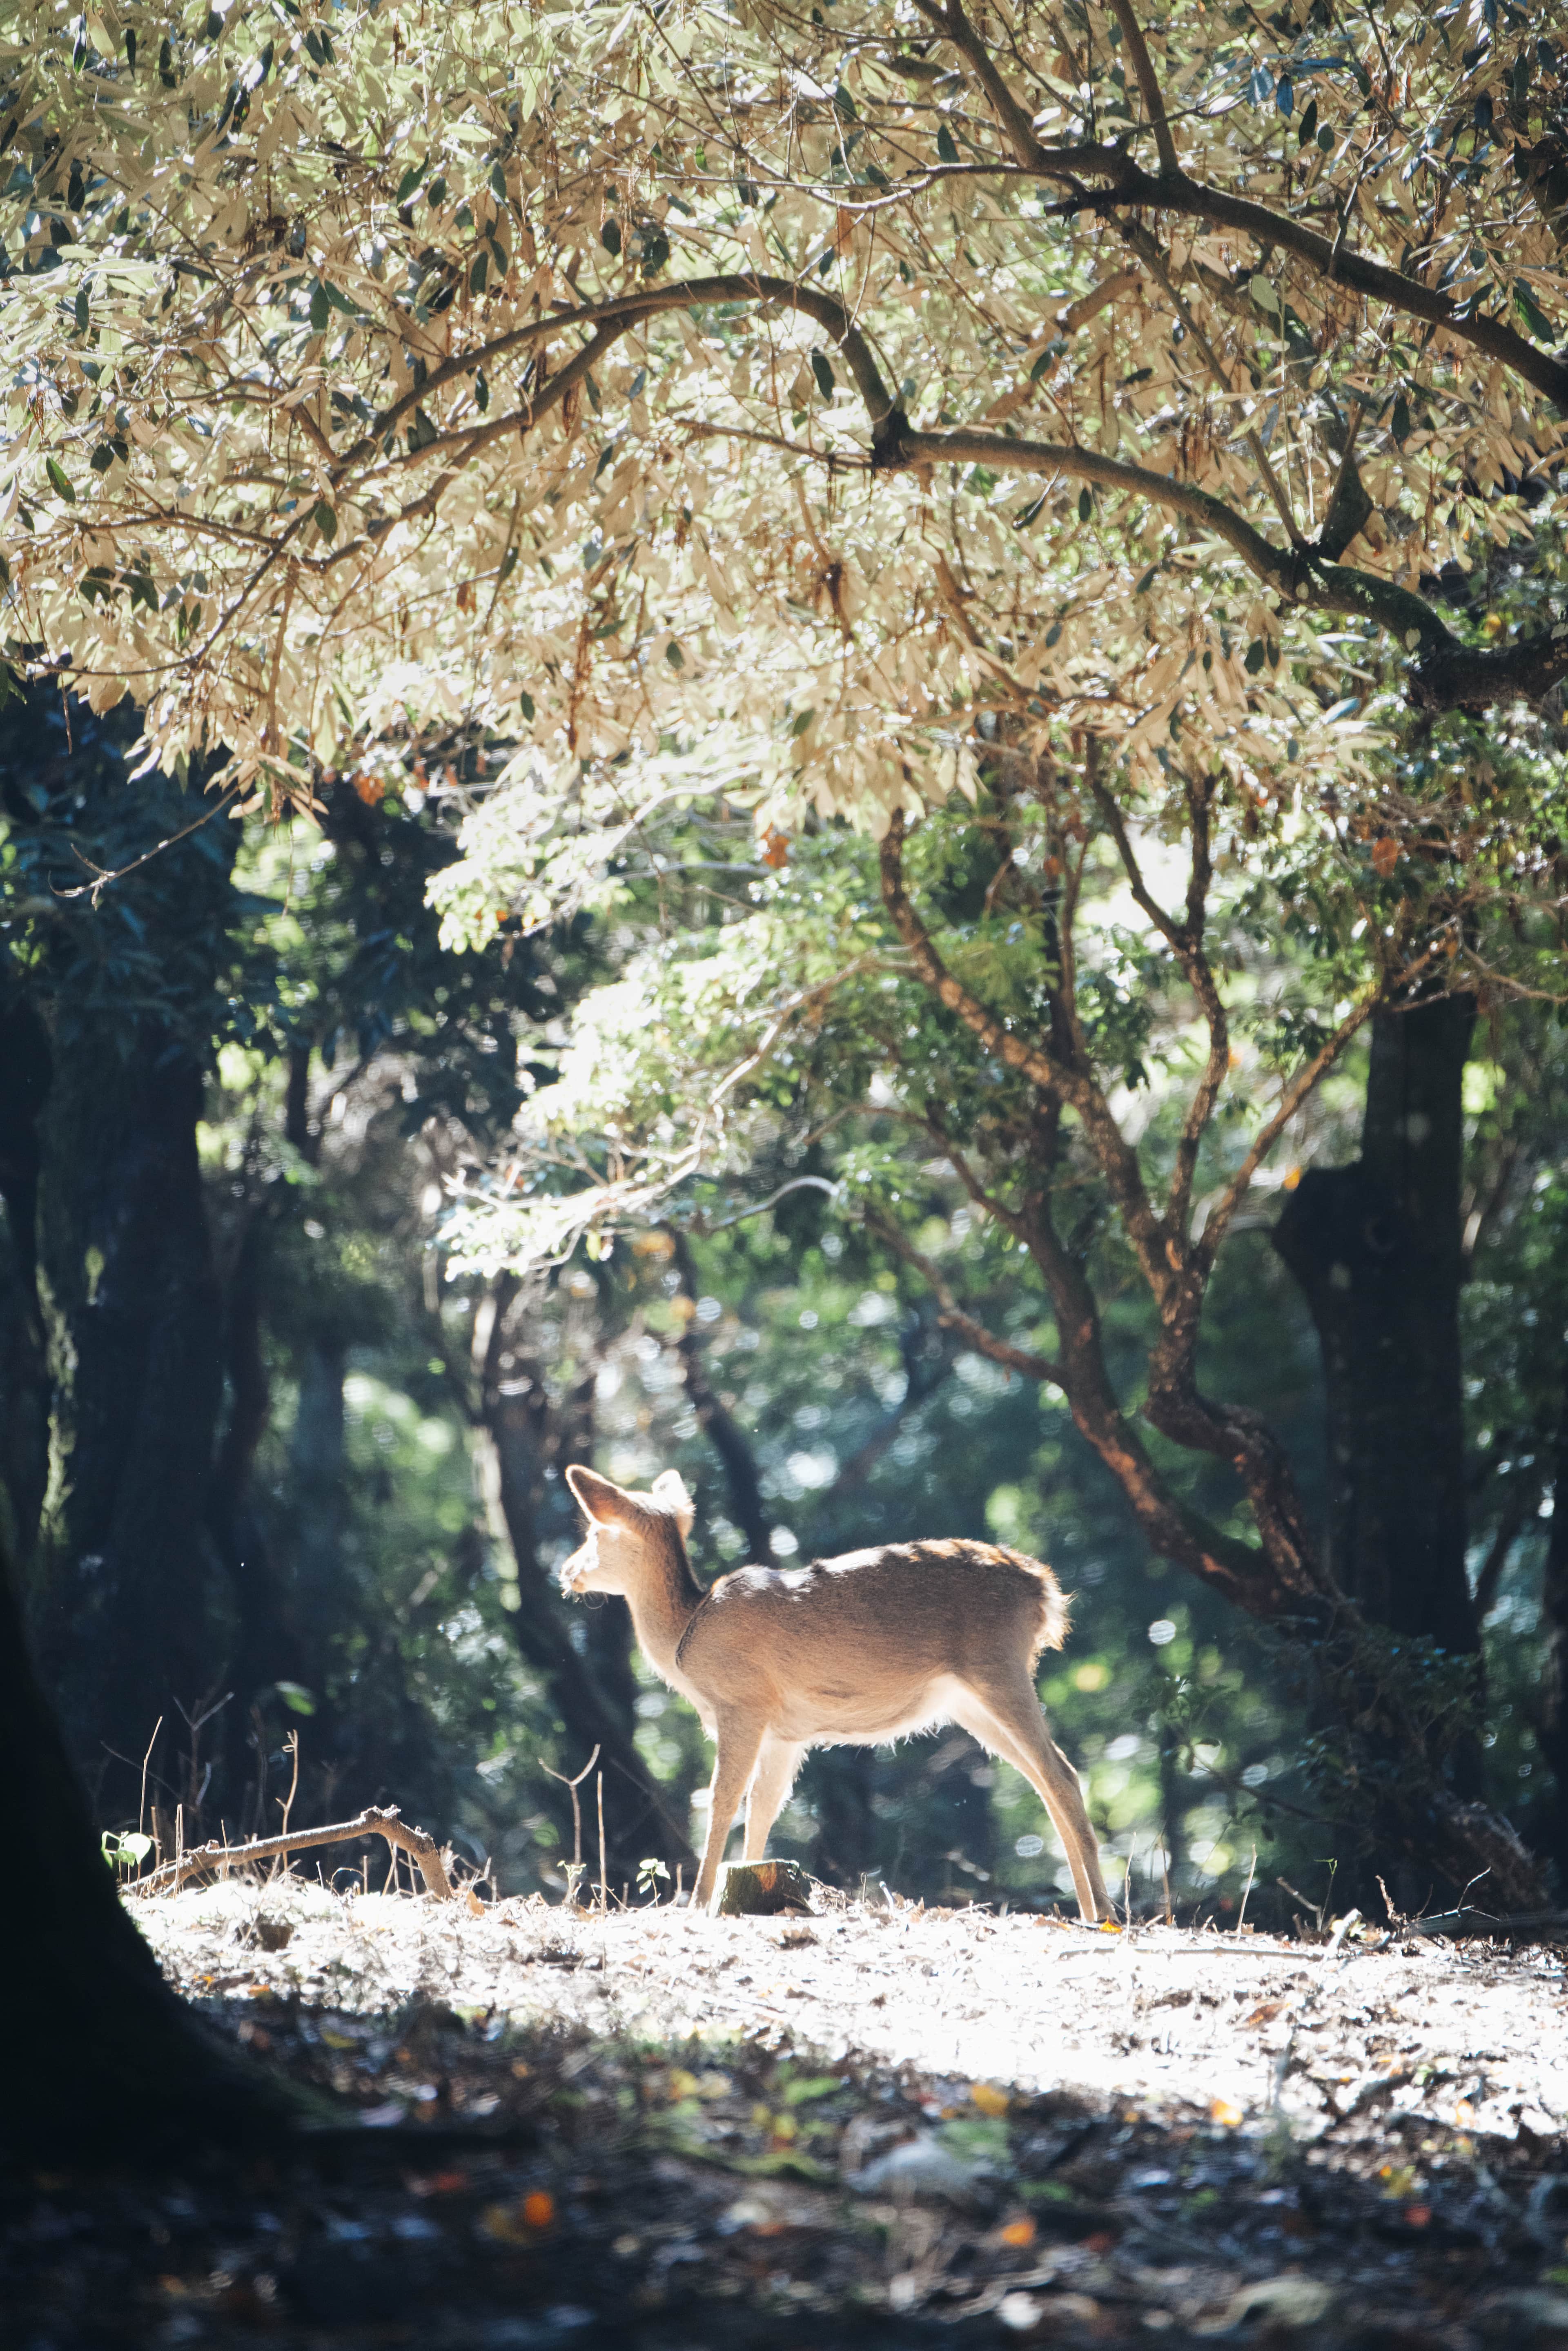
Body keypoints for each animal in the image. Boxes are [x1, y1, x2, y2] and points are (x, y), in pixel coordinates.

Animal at [560, 1464, 1111, 1922]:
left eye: (594, 1532)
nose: (566, 1571)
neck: (686, 1636)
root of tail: (1045, 1592)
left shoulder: (742, 1703)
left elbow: (721, 1801)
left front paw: (698, 1903)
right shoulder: (784, 1734)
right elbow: (763, 1809)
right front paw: (745, 1892)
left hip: (998, 1668)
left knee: (1061, 1773)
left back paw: (1104, 1912)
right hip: (970, 1702)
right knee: (1045, 1780)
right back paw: (1085, 1907)